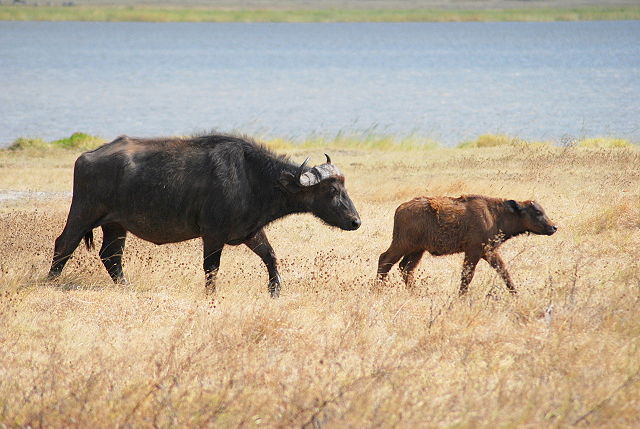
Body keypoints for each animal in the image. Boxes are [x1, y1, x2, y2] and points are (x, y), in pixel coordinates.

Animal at [47, 133, 361, 297]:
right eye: (332, 190)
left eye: (344, 185)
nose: (355, 221)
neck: (252, 178)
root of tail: (87, 156)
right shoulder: (213, 234)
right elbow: (211, 268)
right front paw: (211, 294)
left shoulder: (250, 232)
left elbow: (271, 257)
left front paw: (275, 290)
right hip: (83, 212)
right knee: (64, 244)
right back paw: (50, 281)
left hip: (115, 224)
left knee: (111, 256)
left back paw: (126, 286)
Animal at [377, 195, 557, 295]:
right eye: (537, 212)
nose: (554, 227)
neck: (495, 214)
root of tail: (401, 208)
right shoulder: (474, 252)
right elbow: (467, 275)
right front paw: (461, 297)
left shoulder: (489, 252)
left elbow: (503, 271)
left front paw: (515, 293)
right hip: (402, 245)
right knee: (385, 260)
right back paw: (378, 289)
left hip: (417, 250)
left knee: (406, 269)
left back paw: (415, 292)